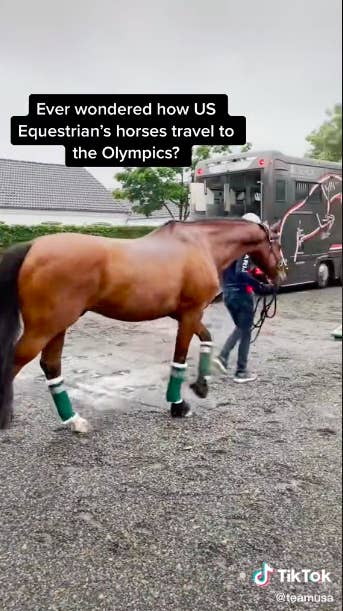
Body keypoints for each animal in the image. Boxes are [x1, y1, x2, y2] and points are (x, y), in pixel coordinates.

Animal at [0, 218, 288, 432]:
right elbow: (180, 359)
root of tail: (33, 247)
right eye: (277, 241)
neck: (200, 243)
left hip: (57, 326)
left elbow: (207, 339)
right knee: (13, 363)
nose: (282, 274)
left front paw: (201, 386)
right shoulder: (191, 313)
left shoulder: (185, 315)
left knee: (51, 366)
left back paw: (74, 421)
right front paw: (178, 405)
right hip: (43, 329)